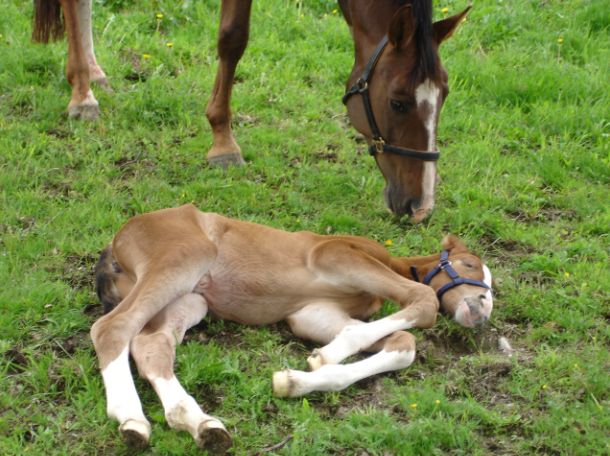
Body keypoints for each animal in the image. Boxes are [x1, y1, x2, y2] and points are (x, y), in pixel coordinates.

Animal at [91, 204, 493, 452]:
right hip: (183, 257)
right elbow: (423, 298)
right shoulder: (336, 255)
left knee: (151, 344)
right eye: (470, 264)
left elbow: (403, 340)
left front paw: (302, 375)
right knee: (111, 327)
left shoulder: (311, 313)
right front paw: (327, 355)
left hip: (192, 298)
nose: (483, 307)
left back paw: (200, 424)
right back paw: (131, 418)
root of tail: (117, 239)